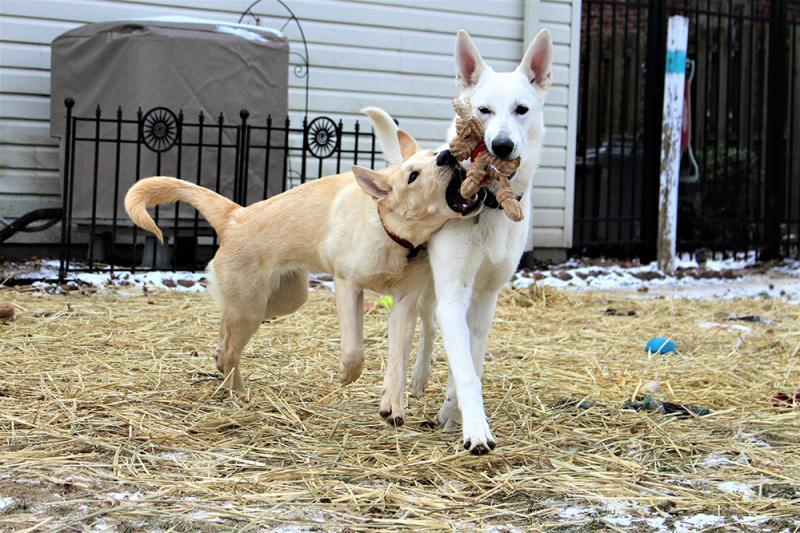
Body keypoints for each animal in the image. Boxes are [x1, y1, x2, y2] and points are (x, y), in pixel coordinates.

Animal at [124, 127, 481, 393]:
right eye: (413, 176)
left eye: (435, 153)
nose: (448, 154)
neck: (391, 229)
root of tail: (234, 216)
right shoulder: (348, 285)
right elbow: (354, 349)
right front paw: (346, 375)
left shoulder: (405, 295)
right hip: (252, 308)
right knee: (230, 352)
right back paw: (236, 391)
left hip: (283, 299)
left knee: (226, 329)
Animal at [373, 28, 553, 454]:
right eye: (484, 110)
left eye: (522, 109)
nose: (501, 146)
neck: (489, 204)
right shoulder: (454, 292)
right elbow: (465, 367)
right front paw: (476, 430)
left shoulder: (486, 299)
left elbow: (471, 361)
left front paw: (452, 410)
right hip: (426, 286)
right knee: (426, 323)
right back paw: (416, 378)